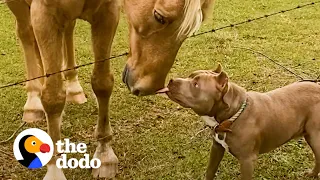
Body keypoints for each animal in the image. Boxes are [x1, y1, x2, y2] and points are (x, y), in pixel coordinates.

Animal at [6, 0, 212, 179]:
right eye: (159, 17)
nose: (149, 87)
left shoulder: (107, 14)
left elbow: (102, 84)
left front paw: (104, 155)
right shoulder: (44, 15)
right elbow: (53, 96)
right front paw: (55, 171)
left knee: (68, 30)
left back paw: (73, 89)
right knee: (25, 34)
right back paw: (33, 102)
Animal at [159, 65, 320, 180]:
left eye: (196, 84)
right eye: (190, 76)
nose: (171, 80)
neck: (232, 116)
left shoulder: (247, 161)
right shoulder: (217, 147)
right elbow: (210, 170)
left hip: (315, 138)